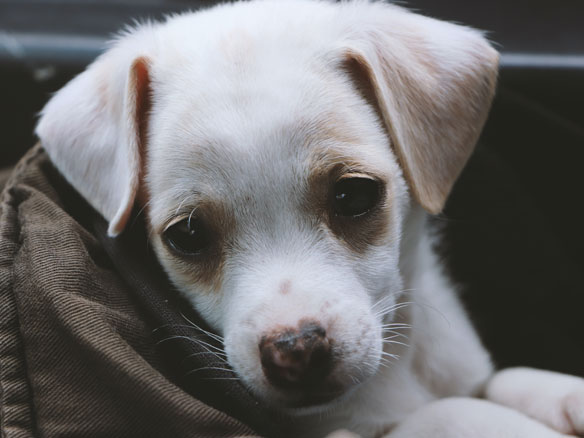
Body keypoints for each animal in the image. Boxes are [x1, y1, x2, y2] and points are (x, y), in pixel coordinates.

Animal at [35, 1, 584, 436]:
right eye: (187, 234)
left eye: (354, 195)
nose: (295, 351)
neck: (399, 374)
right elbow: (442, 414)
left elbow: (502, 380)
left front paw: (565, 396)